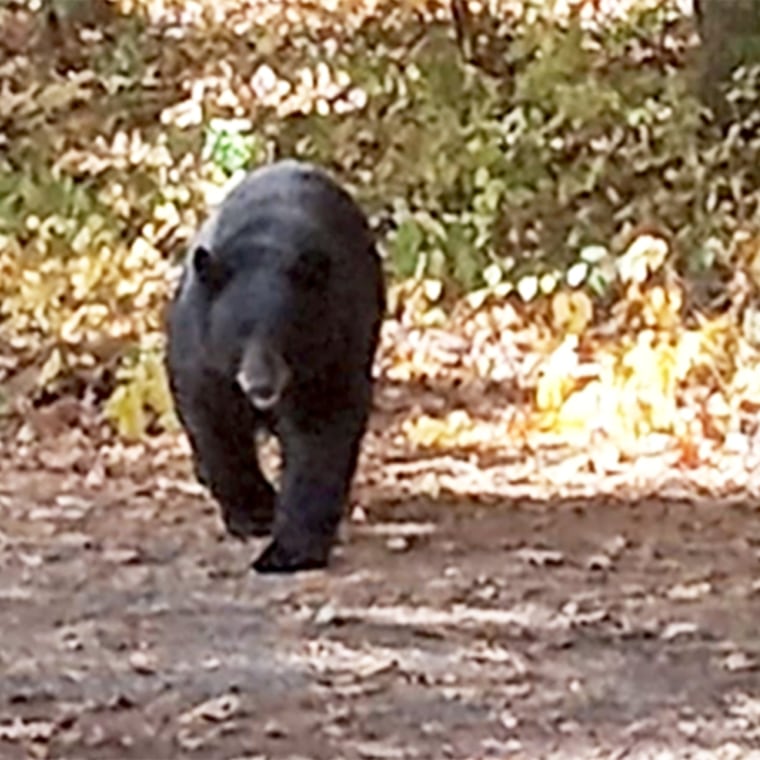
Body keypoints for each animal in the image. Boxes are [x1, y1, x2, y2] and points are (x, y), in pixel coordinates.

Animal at [169, 162, 388, 576]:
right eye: (238, 332)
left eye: (286, 330)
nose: (261, 385)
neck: (266, 249)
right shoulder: (202, 352)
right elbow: (215, 422)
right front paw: (253, 512)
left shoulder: (332, 349)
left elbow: (322, 434)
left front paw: (288, 551)